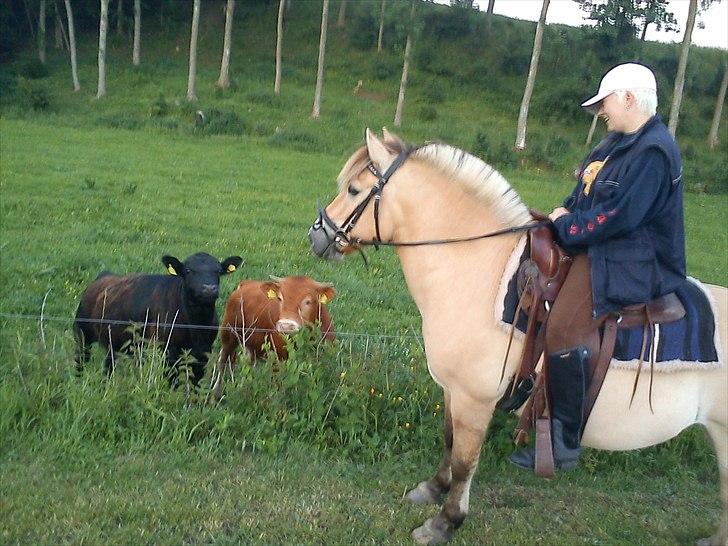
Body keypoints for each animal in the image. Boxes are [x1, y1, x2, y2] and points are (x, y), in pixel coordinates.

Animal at [75, 251, 243, 382]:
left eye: (218, 271)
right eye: (188, 270)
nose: (209, 288)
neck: (196, 325)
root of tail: (103, 276)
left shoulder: (203, 352)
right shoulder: (168, 350)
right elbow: (173, 380)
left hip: (117, 344)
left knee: (109, 365)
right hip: (82, 335)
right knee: (81, 361)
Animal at [308, 129, 728, 544]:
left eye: (354, 190)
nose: (317, 236)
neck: (479, 271)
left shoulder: (475, 398)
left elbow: (465, 461)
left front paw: (445, 522)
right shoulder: (453, 390)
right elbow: (449, 441)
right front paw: (433, 489)